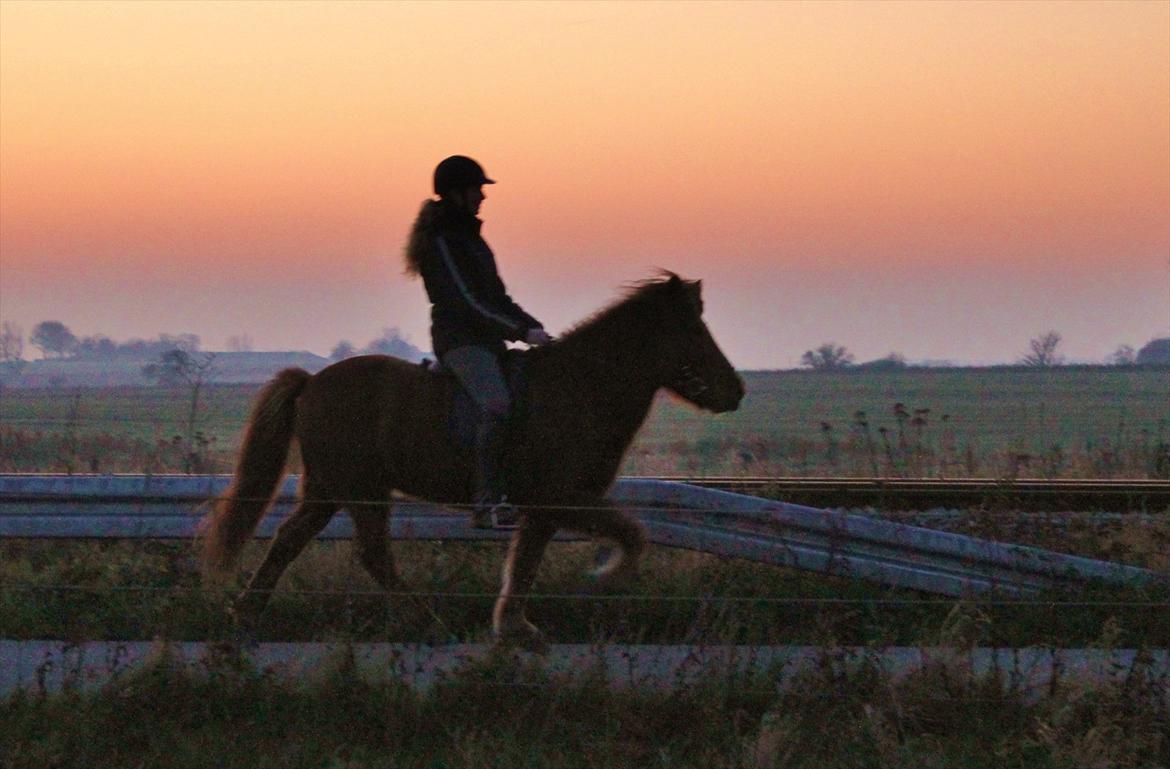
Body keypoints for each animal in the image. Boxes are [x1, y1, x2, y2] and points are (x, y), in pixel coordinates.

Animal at [202, 272, 744, 646]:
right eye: (694, 331)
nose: (735, 391)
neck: (581, 386)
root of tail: (312, 382)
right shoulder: (563, 498)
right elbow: (632, 534)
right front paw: (607, 575)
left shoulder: (544, 508)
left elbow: (524, 564)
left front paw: (515, 628)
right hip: (360, 490)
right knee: (370, 554)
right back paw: (427, 621)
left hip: (330, 489)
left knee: (290, 541)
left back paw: (246, 616)